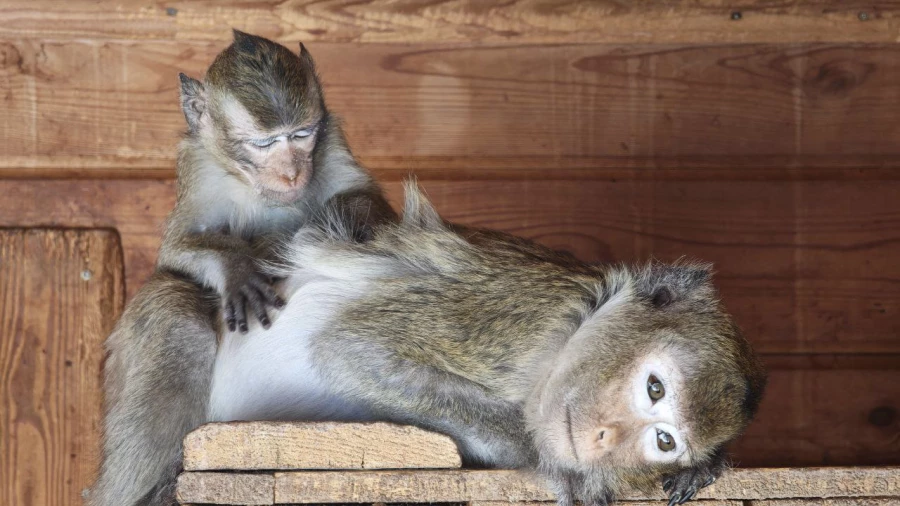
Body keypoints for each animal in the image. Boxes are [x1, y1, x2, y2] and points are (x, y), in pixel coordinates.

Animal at [209, 183, 768, 506]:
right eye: (654, 388)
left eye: (664, 441)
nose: (607, 436)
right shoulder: (518, 314)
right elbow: (354, 350)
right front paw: (553, 465)